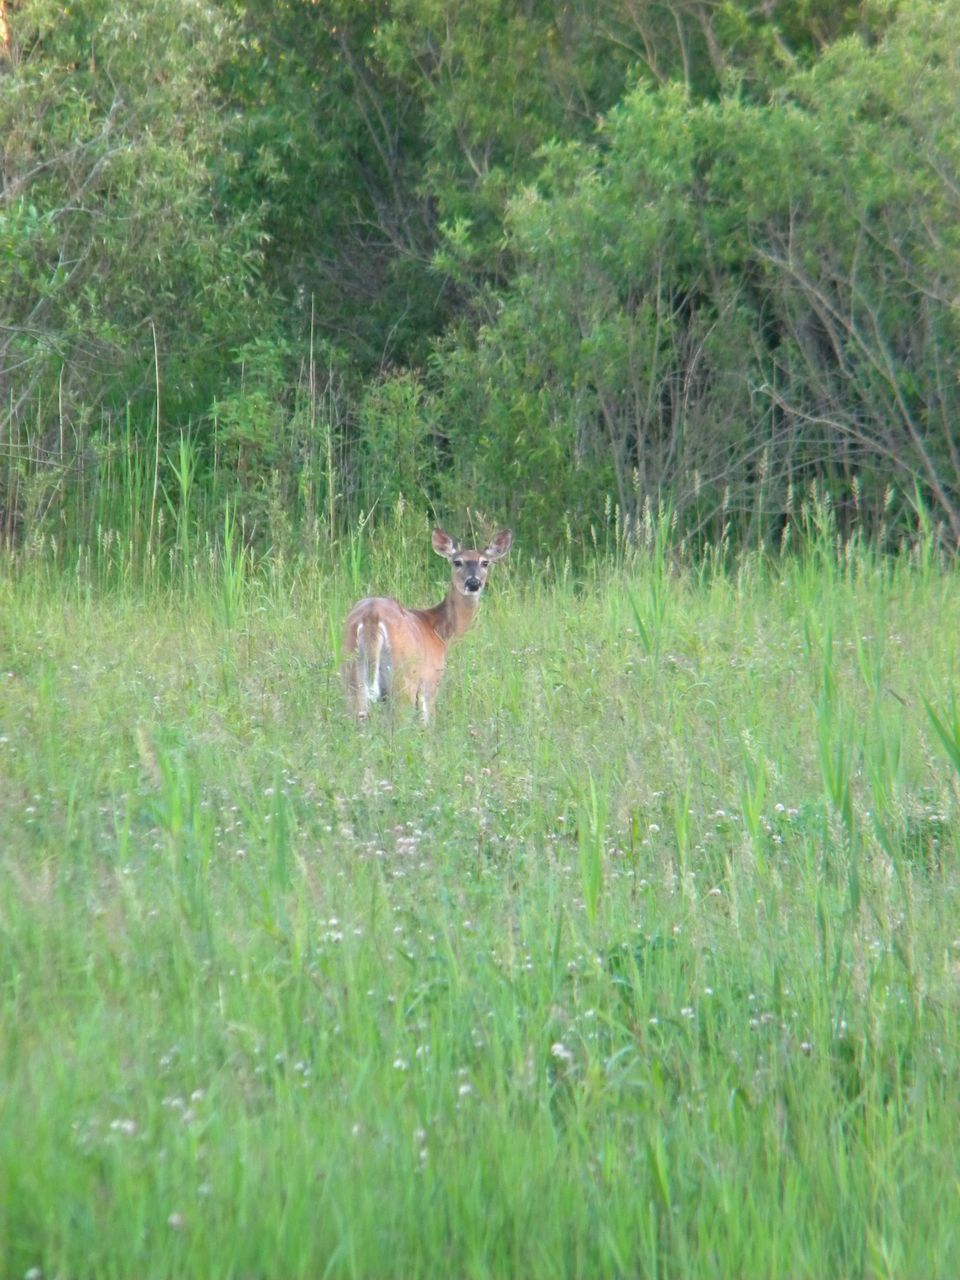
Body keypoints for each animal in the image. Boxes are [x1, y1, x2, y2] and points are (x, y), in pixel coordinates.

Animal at [343, 524, 514, 727]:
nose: (473, 582)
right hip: (404, 677)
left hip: (351, 672)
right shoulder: (431, 679)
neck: (439, 631)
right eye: (457, 562)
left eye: (485, 563)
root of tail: (372, 615)